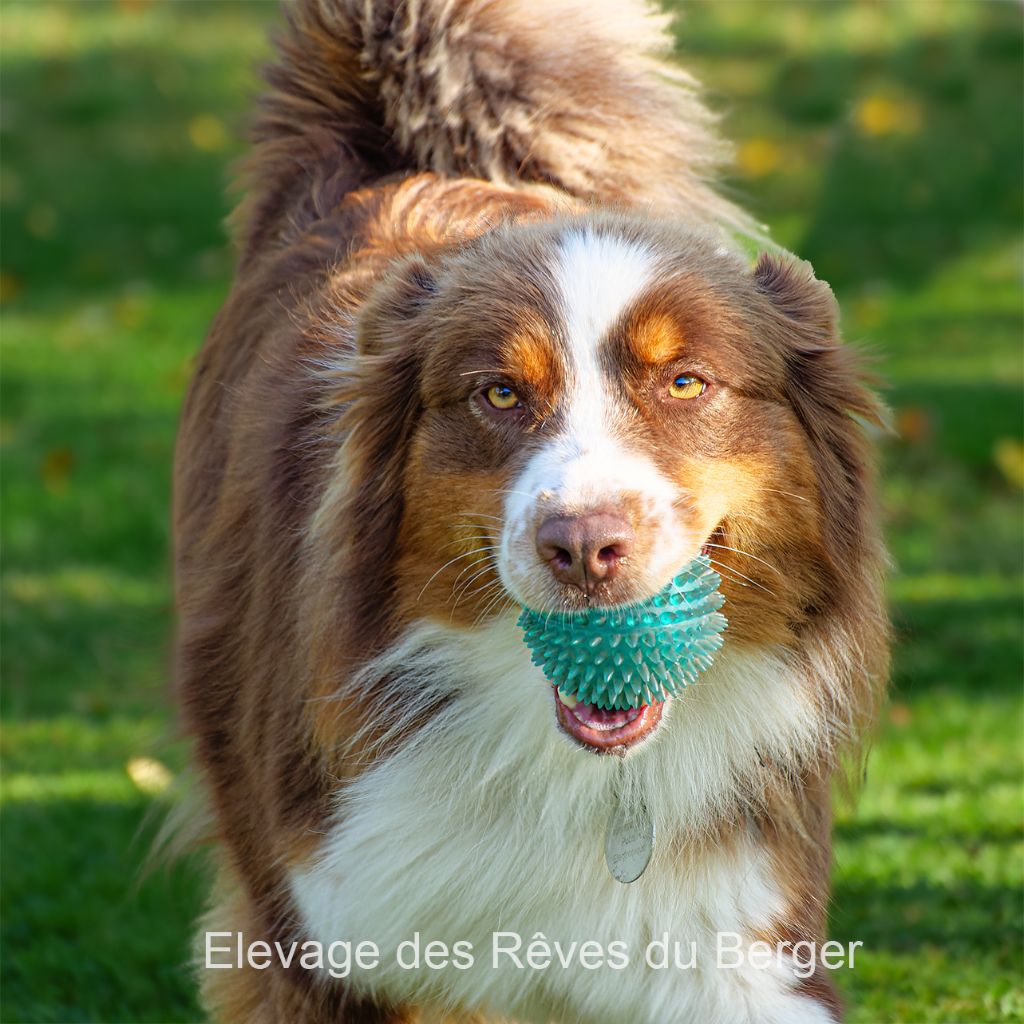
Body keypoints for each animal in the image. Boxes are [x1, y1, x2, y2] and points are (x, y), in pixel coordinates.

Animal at [174, 4, 888, 1019]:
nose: (583, 546)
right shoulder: (319, 932)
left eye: (687, 382)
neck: (569, 772)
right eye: (501, 395)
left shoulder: (735, 937)